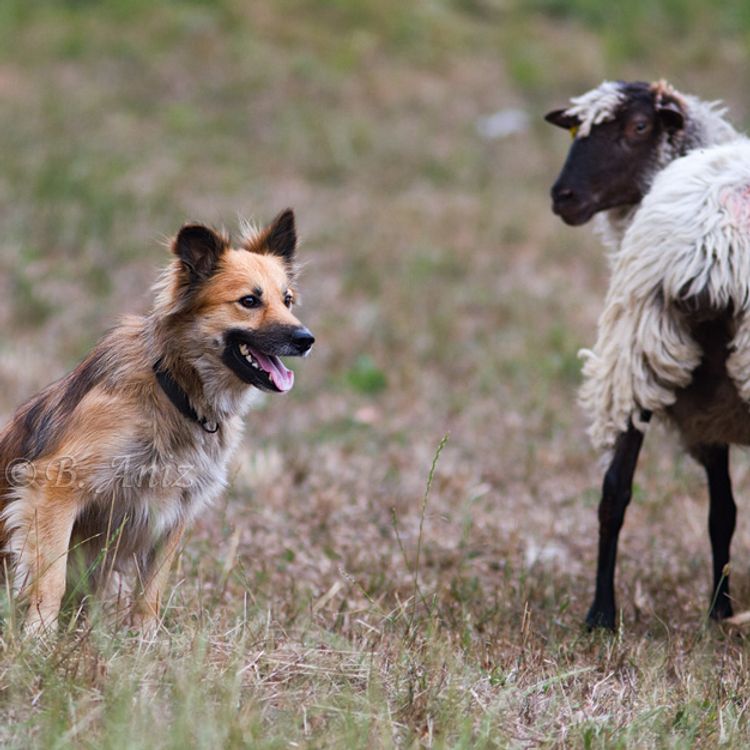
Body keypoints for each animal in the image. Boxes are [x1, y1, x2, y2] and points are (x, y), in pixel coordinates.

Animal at [0, 207, 314, 636]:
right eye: (249, 301)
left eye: (288, 299)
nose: (306, 339)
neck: (177, 391)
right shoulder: (53, 486)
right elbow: (51, 579)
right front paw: (40, 638)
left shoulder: (175, 511)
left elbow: (152, 590)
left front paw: (144, 640)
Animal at [548, 79, 748, 632]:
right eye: (577, 130)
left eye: (639, 127)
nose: (563, 196)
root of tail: (714, 239)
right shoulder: (710, 409)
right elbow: (722, 513)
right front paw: (719, 610)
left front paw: (720, 608)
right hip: (645, 353)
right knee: (616, 492)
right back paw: (603, 615)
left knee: (614, 493)